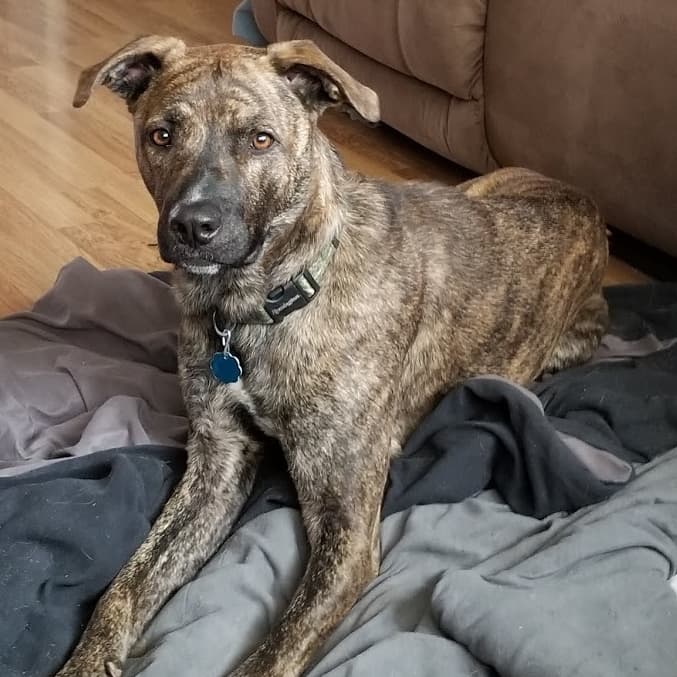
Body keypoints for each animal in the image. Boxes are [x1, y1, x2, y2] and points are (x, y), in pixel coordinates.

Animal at [56, 35, 608, 676]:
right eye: (161, 135)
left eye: (261, 139)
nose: (193, 226)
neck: (259, 307)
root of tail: (586, 201)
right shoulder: (217, 465)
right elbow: (126, 585)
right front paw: (87, 661)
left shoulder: (346, 524)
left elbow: (273, 654)